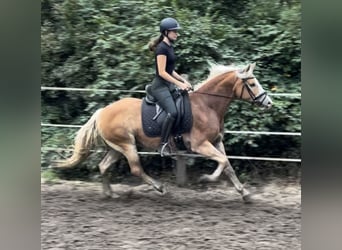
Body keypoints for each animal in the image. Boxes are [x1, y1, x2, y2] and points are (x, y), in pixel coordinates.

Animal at [51, 62, 272, 203]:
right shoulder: (200, 145)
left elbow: (228, 166)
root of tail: (102, 111)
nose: (269, 103)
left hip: (117, 147)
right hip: (127, 145)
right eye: (252, 84)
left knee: (104, 166)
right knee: (136, 169)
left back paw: (111, 195)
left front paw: (245, 194)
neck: (207, 105)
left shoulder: (216, 141)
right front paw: (205, 179)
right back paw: (160, 188)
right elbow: (223, 161)